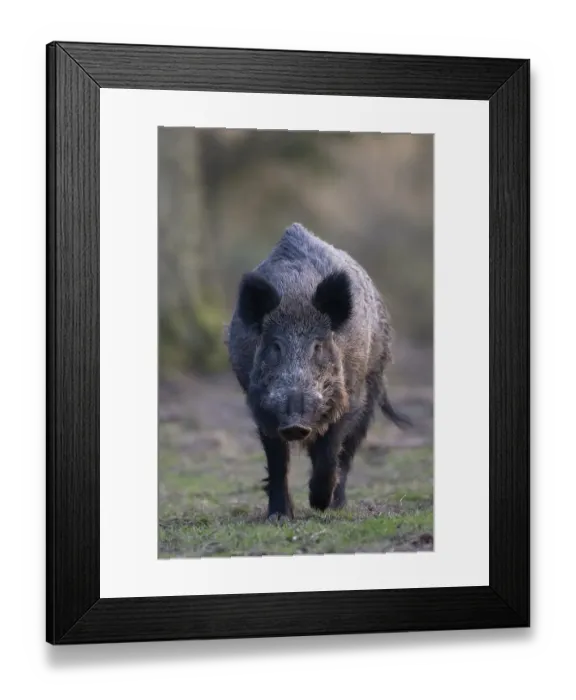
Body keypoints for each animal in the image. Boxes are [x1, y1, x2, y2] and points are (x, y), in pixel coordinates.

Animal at [226, 223, 411, 520]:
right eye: (275, 346)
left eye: (317, 346)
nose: (295, 423)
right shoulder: (260, 404)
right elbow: (277, 460)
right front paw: (279, 517)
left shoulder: (349, 397)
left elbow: (330, 451)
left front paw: (319, 505)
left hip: (373, 382)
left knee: (347, 452)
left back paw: (337, 506)